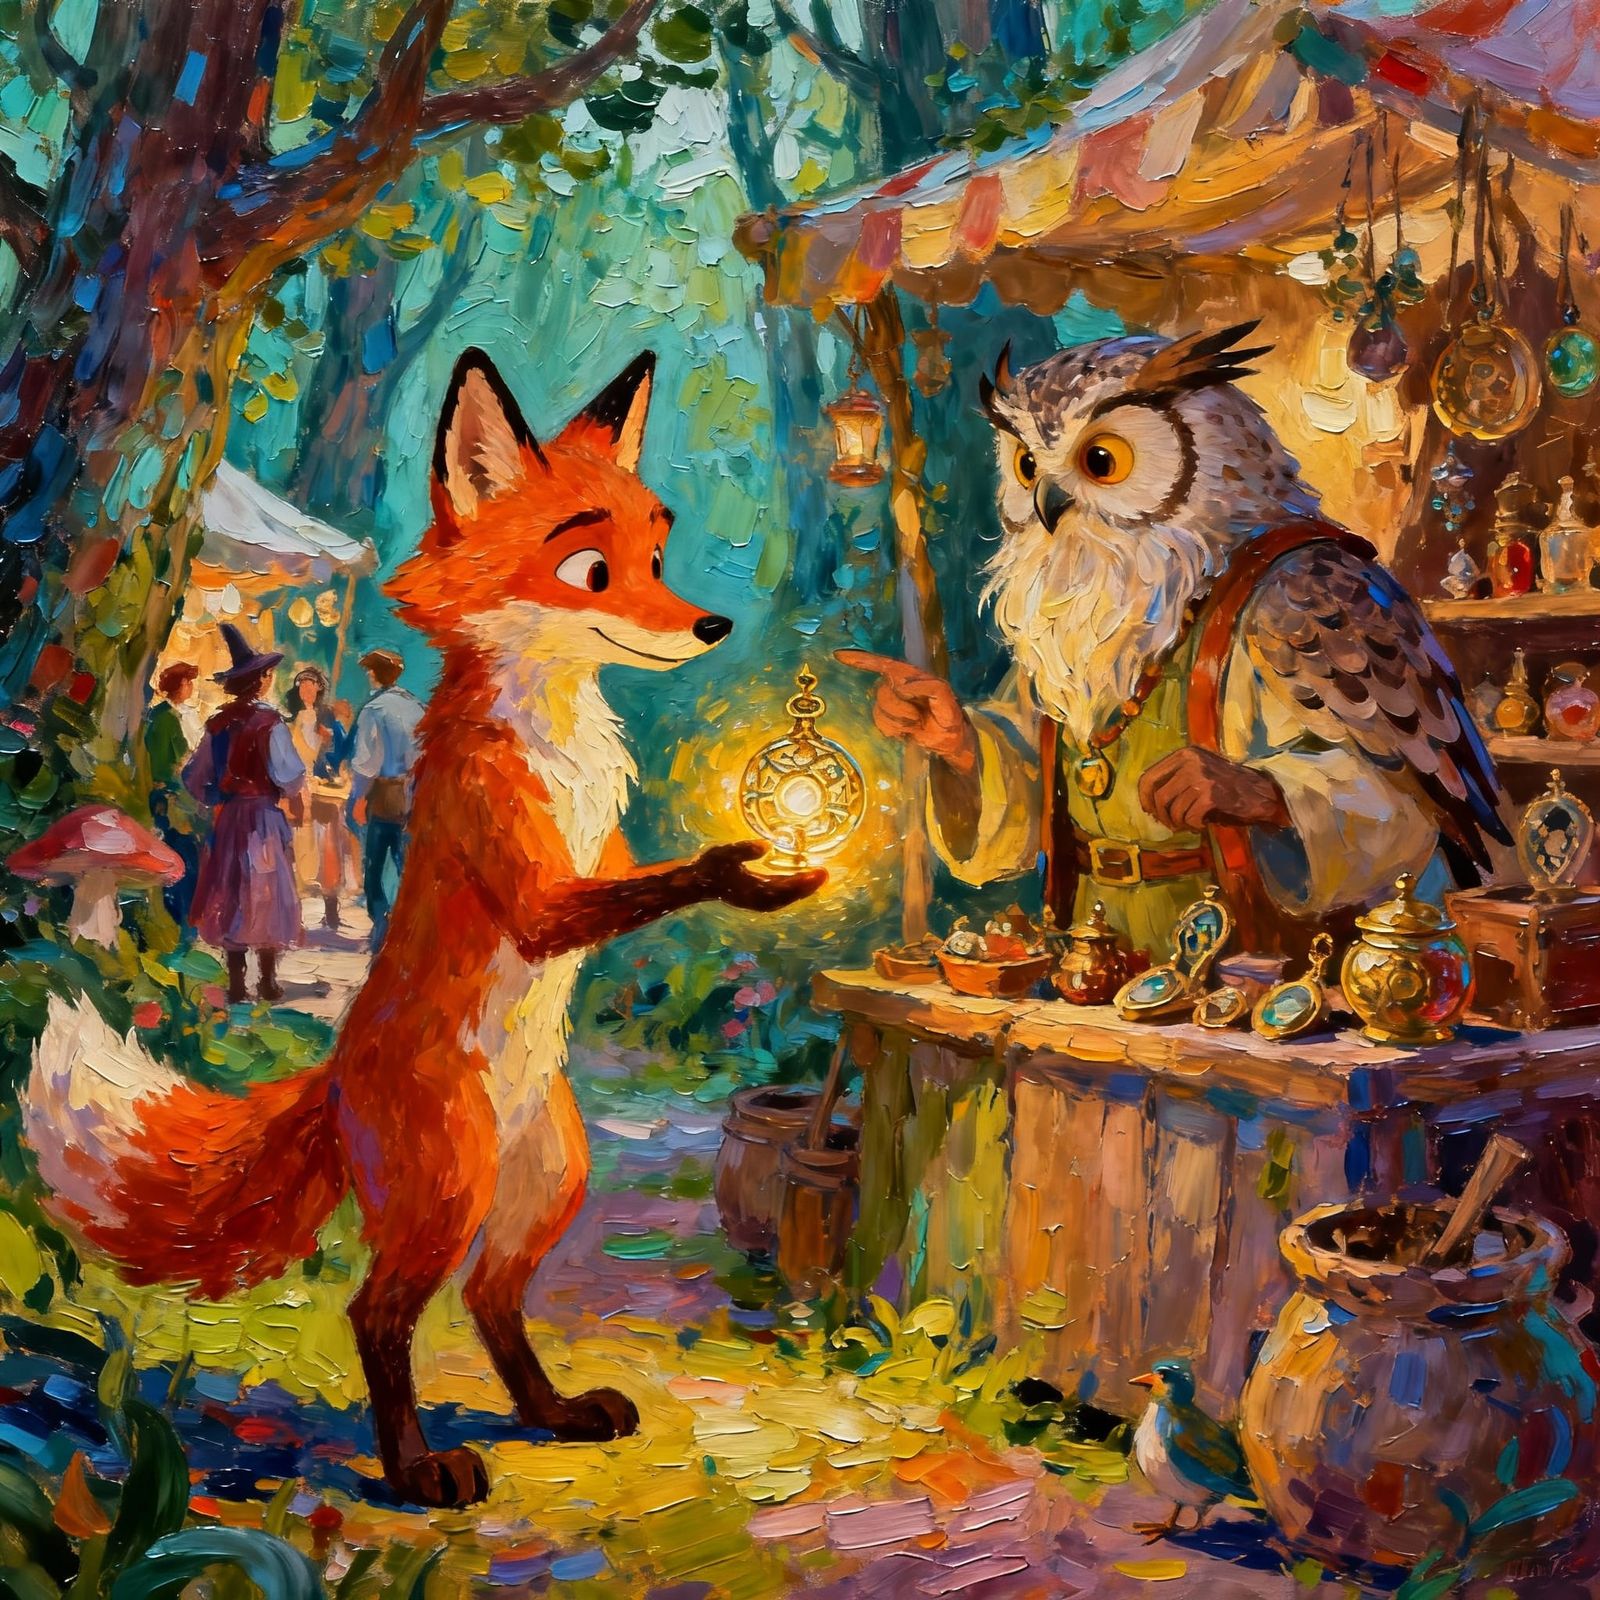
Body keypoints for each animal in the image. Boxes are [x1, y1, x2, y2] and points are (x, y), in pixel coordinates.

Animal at [20, 349, 823, 1508]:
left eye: (658, 556)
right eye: (591, 569)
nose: (709, 627)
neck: (560, 735)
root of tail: (337, 1078)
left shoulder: (602, 858)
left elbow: (633, 886)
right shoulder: (523, 875)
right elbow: (605, 897)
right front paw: (738, 865)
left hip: (545, 1182)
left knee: (491, 1298)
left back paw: (551, 1414)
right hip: (449, 1185)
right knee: (380, 1312)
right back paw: (413, 1468)